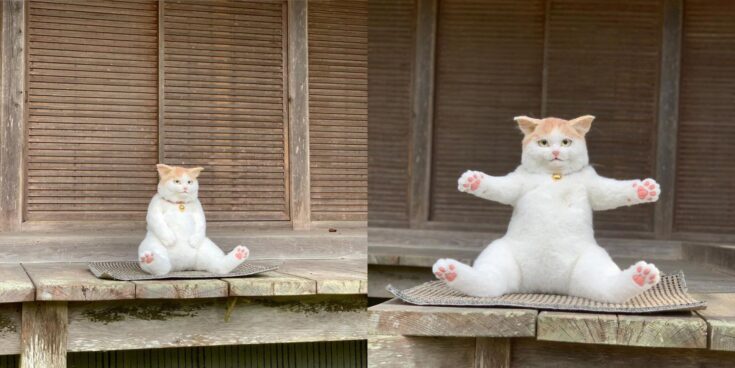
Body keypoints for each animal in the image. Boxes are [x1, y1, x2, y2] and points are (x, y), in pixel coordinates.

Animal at [434, 116, 664, 304]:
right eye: (543, 143)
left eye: (566, 142)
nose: (555, 151)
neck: (554, 177)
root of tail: (545, 283)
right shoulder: (516, 183)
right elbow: (498, 187)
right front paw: (474, 181)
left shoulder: (594, 187)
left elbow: (615, 191)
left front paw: (644, 190)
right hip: (499, 255)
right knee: (487, 283)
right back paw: (451, 271)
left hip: (592, 264)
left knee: (609, 290)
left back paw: (640, 276)